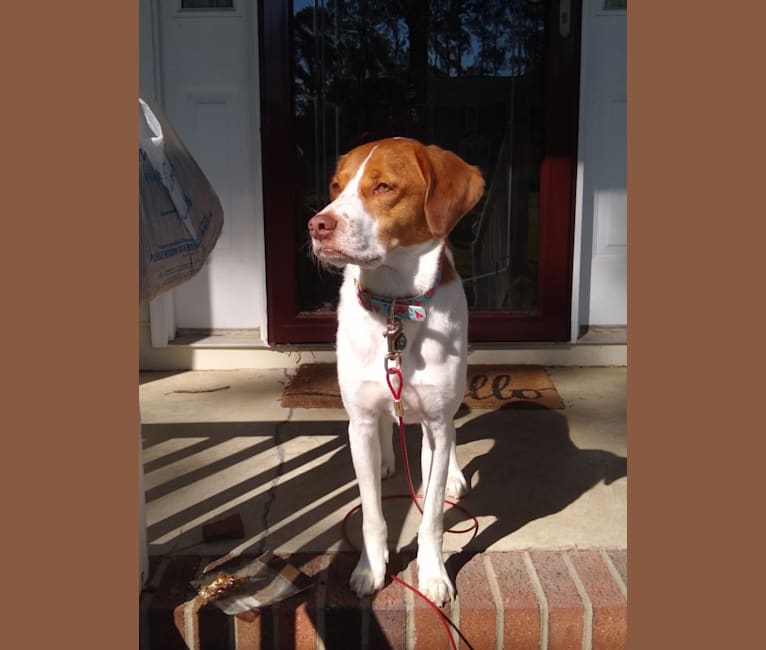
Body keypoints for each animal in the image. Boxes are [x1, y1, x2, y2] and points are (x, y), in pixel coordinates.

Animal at [308, 137, 484, 604]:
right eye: (335, 186)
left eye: (384, 186)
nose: (317, 225)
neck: (394, 307)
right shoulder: (360, 421)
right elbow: (372, 513)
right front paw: (371, 568)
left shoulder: (437, 422)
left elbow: (433, 516)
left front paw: (433, 573)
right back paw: (388, 458)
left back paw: (452, 473)